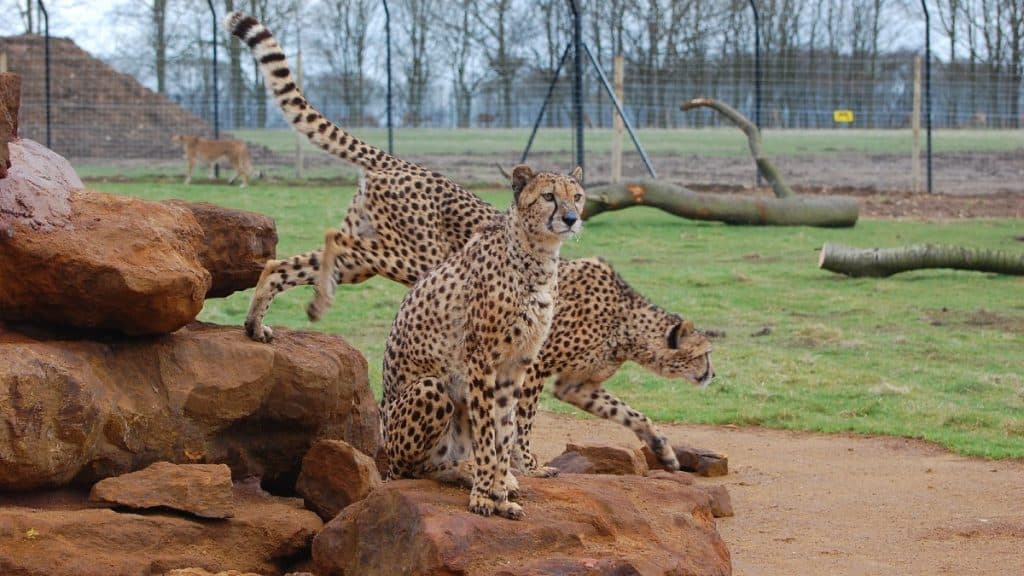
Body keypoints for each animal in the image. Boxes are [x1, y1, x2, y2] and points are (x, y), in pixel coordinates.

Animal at [380, 163, 585, 518]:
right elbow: (488, 432)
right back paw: (465, 470)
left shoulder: (517, 363)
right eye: (548, 196)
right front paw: (483, 497)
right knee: (415, 470)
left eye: (578, 196)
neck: (537, 256)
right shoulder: (481, 361)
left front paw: (501, 491)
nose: (571, 218)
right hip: (430, 390)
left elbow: (506, 428)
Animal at [509, 258, 712, 473]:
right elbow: (522, 421)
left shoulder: (574, 386)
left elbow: (627, 413)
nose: (713, 375)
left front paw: (662, 449)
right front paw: (527, 466)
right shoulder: (532, 364)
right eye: (705, 354)